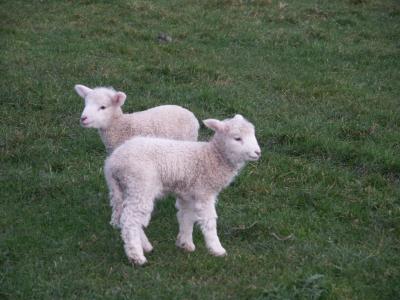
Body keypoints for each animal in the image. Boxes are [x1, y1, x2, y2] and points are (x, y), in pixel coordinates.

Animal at [104, 113, 262, 264]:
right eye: (237, 138)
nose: (258, 152)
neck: (212, 157)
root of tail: (113, 163)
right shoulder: (204, 193)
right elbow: (209, 221)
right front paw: (217, 249)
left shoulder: (189, 194)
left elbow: (186, 217)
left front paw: (185, 244)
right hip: (140, 185)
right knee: (130, 220)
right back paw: (136, 257)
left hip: (123, 189)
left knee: (126, 217)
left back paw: (145, 246)